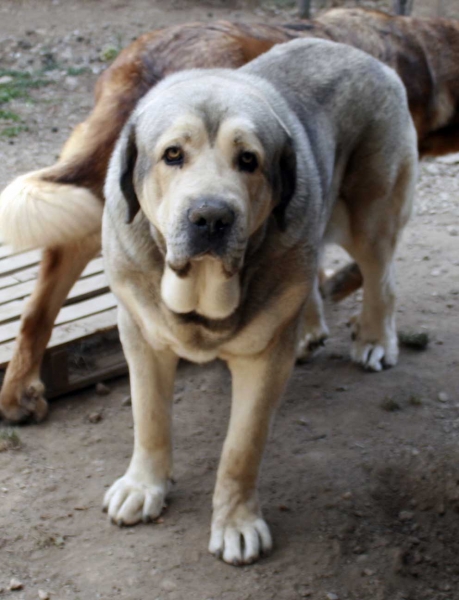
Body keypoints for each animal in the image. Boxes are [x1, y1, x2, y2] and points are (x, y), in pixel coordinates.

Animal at [102, 39, 418, 564]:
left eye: (248, 160)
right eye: (172, 155)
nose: (211, 216)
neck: (203, 291)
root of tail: (362, 52)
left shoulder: (263, 361)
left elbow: (241, 448)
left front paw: (237, 523)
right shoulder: (140, 334)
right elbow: (149, 417)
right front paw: (144, 485)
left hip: (372, 218)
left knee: (382, 280)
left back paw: (374, 339)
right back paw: (309, 329)